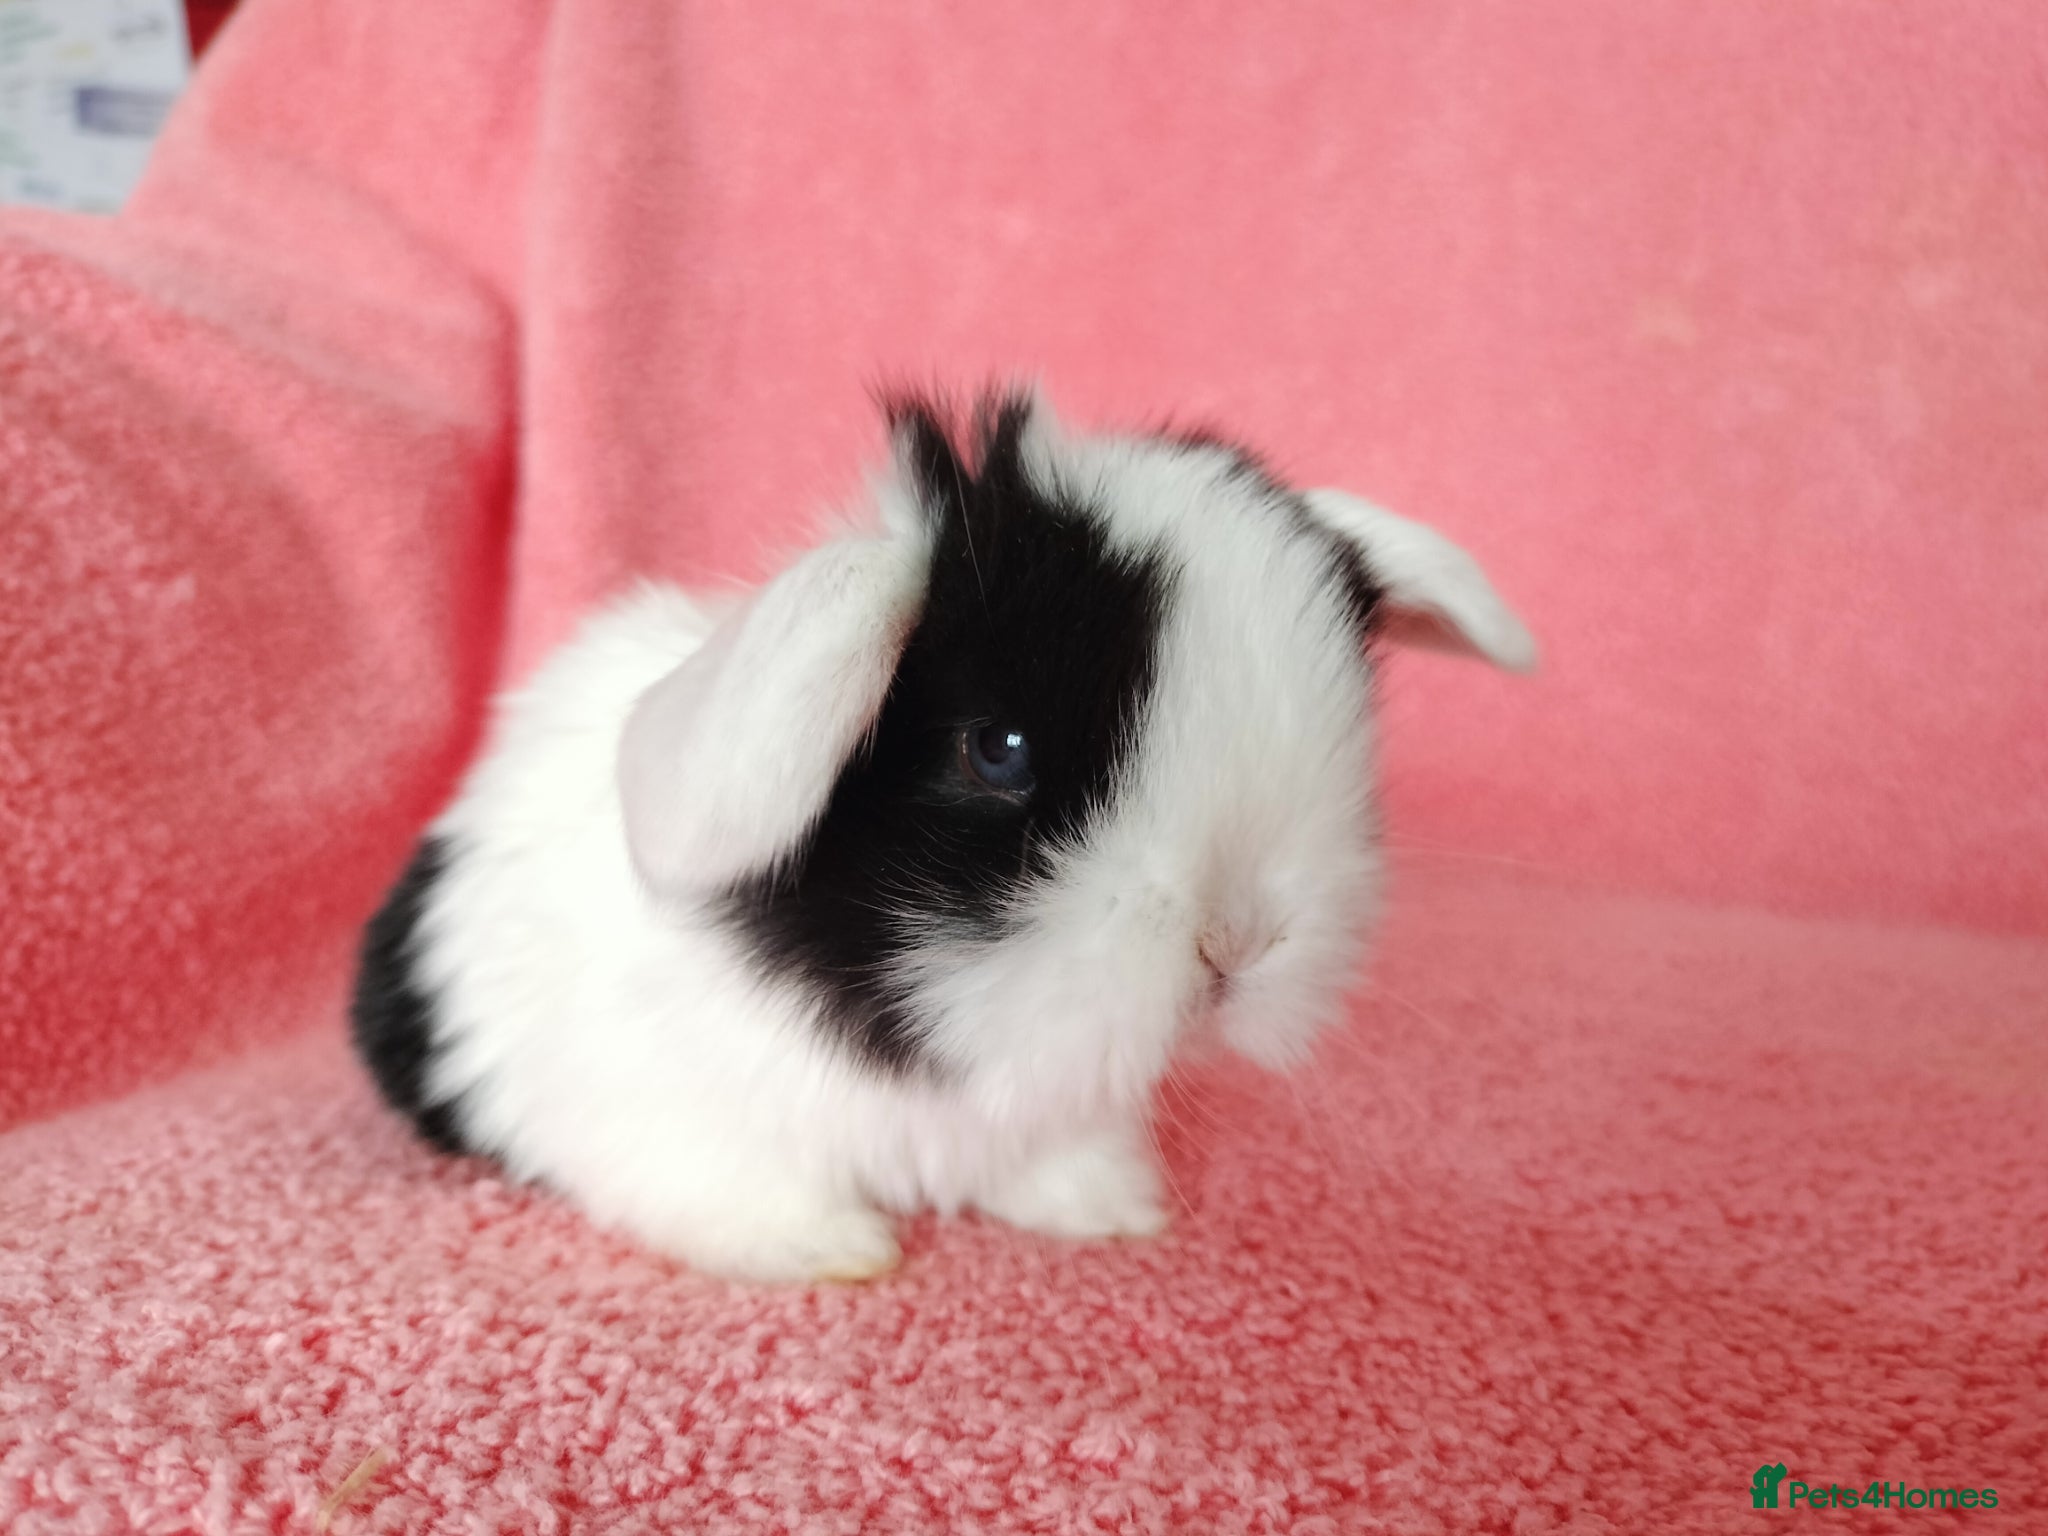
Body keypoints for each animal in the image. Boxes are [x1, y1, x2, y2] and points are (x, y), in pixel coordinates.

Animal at [351, 386, 1536, 1283]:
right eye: (997, 749)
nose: (1238, 943)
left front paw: (1109, 1206)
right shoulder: (673, 1119)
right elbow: (741, 1193)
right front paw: (834, 1251)